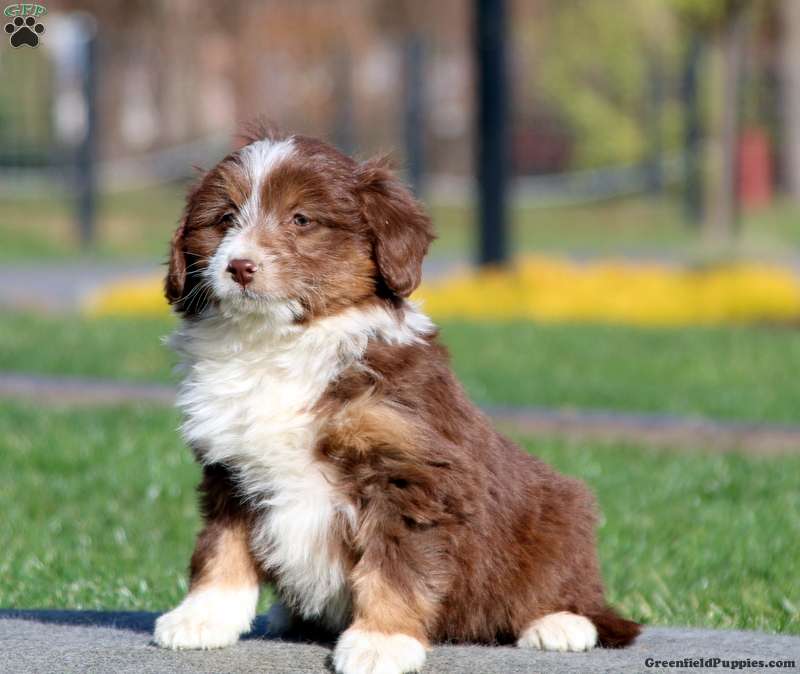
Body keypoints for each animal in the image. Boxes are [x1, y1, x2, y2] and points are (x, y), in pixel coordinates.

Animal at [153, 127, 640, 672]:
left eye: (302, 220)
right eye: (223, 218)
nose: (240, 266)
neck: (282, 345)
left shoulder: (408, 475)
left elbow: (394, 568)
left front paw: (380, 642)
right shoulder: (230, 470)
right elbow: (221, 550)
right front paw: (201, 619)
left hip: (560, 514)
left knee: (575, 593)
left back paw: (559, 624)